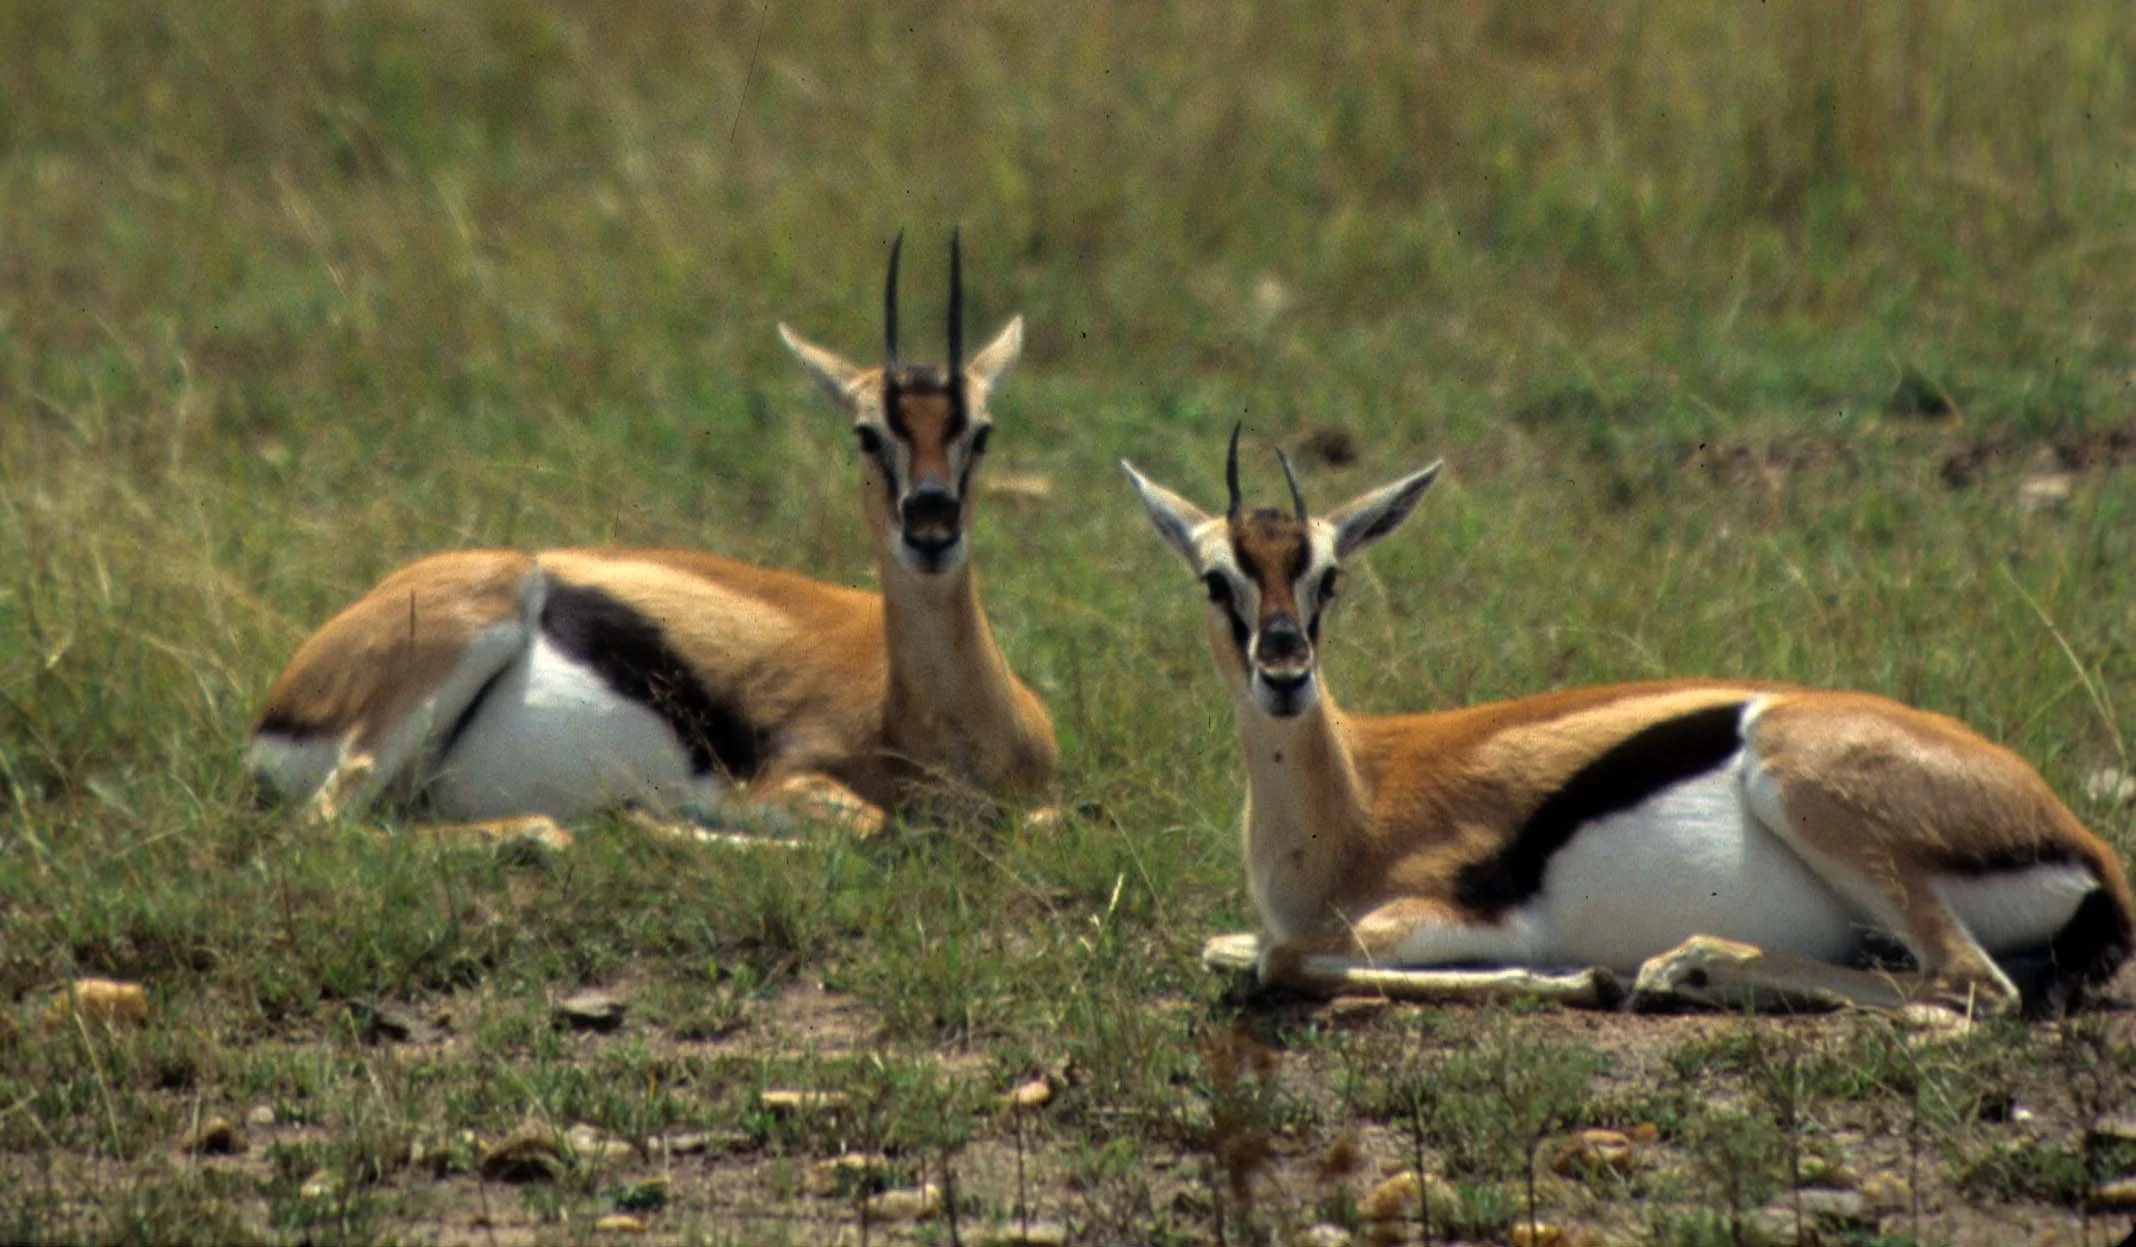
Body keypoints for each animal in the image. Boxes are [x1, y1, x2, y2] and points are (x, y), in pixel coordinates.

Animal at [249, 233, 1057, 839]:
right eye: (866, 432)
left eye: (981, 429)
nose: (930, 528)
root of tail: (284, 697)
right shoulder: (765, 784)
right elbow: (867, 824)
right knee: (325, 827)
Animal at [1124, 430, 2134, 1015]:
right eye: (1216, 578)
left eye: (1330, 574)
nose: (1285, 672)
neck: (1355, 799)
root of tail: (2087, 848)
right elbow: (1239, 949)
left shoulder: (1443, 911)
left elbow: (1282, 959)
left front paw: (1573, 976)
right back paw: (1685, 969)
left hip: (1799, 783)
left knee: (1969, 987)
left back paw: (1677, 963)